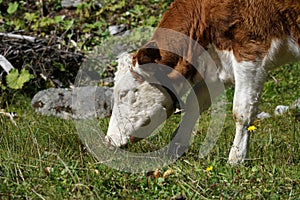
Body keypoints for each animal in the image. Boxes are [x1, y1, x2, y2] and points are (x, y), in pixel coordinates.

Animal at [105, 0, 298, 163]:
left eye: (123, 94)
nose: (109, 139)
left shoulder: (249, 52)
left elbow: (241, 112)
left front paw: (236, 159)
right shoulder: (220, 69)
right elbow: (194, 103)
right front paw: (175, 147)